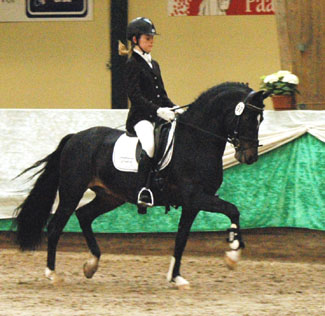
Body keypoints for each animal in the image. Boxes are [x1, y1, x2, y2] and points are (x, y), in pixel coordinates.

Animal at [14, 81, 268, 288]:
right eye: (247, 118)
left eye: (261, 120)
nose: (250, 157)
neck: (196, 141)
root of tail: (75, 137)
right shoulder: (196, 197)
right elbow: (233, 209)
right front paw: (233, 256)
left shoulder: (192, 203)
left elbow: (182, 238)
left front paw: (176, 277)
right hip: (72, 191)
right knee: (56, 226)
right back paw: (52, 274)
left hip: (109, 196)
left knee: (84, 215)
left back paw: (91, 264)